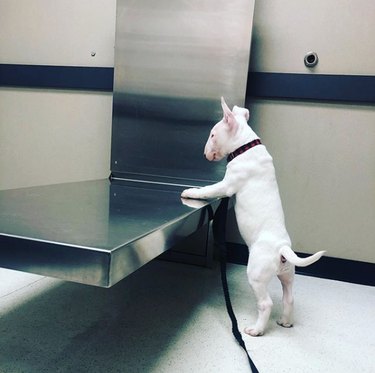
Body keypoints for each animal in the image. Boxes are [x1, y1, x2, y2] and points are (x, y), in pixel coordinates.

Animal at [182, 97, 326, 336]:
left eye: (212, 135)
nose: (204, 154)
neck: (246, 147)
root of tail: (281, 248)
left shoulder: (227, 185)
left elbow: (208, 190)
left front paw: (190, 191)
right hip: (287, 276)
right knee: (289, 298)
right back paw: (285, 322)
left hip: (256, 275)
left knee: (266, 303)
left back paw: (256, 330)